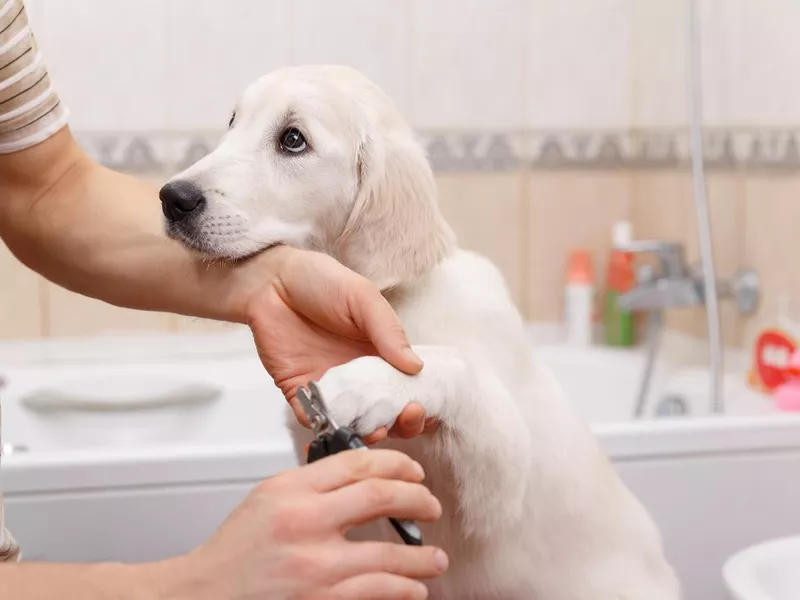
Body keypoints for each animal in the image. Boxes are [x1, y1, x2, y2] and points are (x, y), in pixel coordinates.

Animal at [161, 65, 680, 600]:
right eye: (232, 122)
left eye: (293, 139)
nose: (172, 198)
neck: (396, 298)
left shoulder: (503, 484)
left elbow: (455, 365)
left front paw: (367, 384)